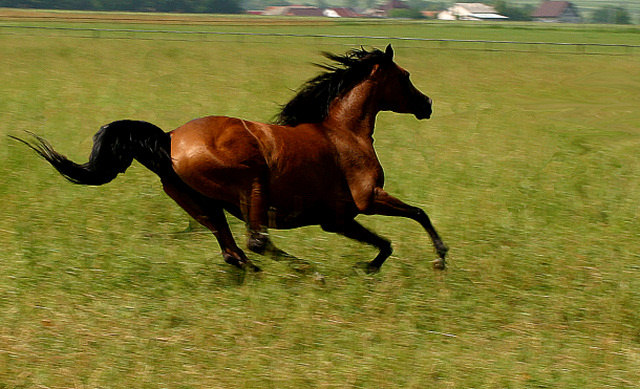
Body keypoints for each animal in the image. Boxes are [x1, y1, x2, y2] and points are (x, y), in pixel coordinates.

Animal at [11, 44, 450, 272]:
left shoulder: (337, 219)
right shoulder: (367, 199)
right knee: (255, 242)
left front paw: (371, 266)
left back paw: (275, 273)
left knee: (234, 252)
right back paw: (305, 271)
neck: (343, 132)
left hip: (205, 206)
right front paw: (439, 258)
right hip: (253, 184)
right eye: (406, 76)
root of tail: (168, 139)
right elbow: (418, 215)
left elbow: (387, 240)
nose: (427, 104)